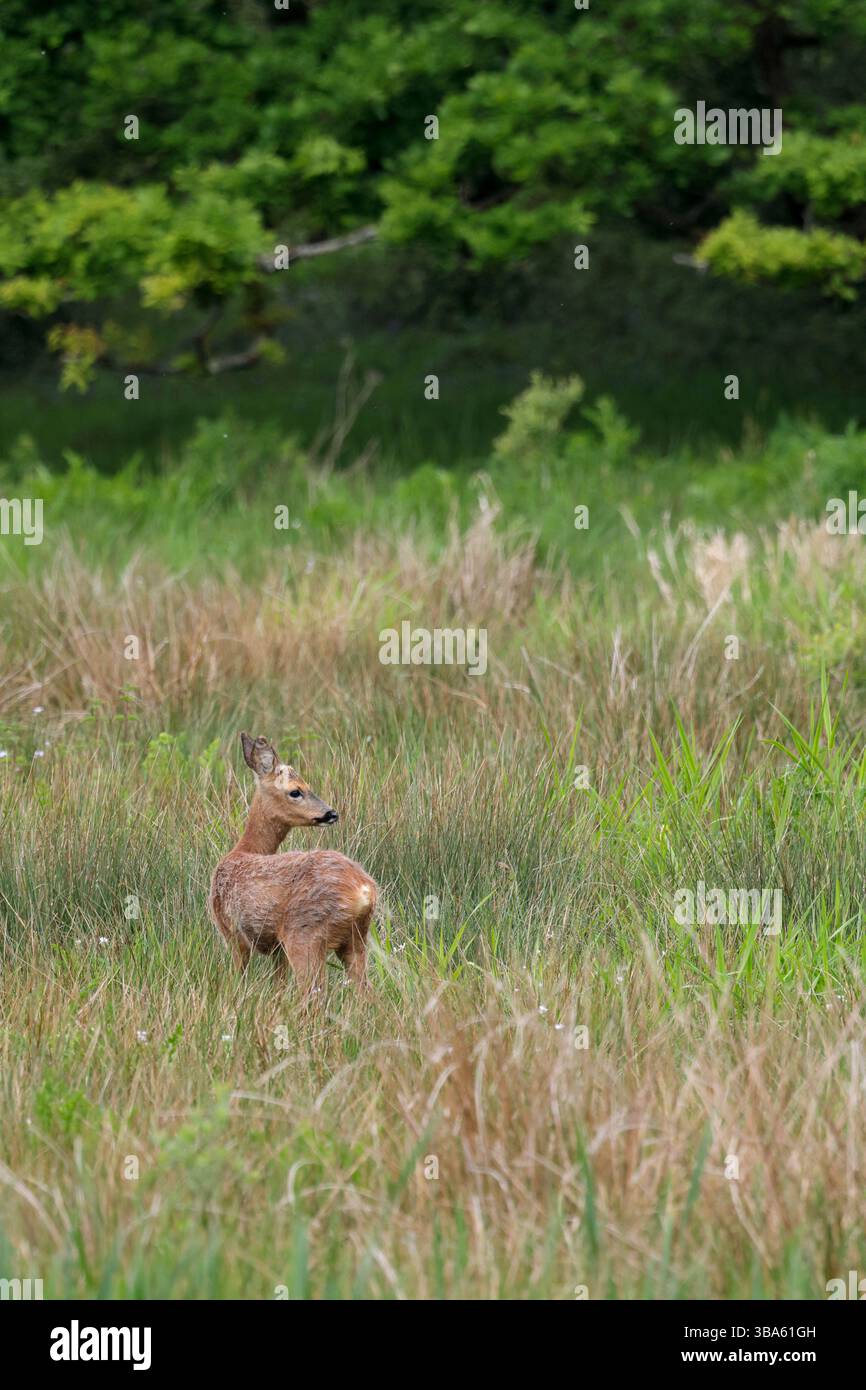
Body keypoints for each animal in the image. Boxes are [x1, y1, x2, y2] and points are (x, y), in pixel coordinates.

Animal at [209, 733, 377, 997]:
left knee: (313, 993)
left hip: (305, 934)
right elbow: (278, 984)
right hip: (356, 938)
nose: (331, 813)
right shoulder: (277, 949)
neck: (242, 851)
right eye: (296, 791)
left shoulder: (232, 933)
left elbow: (239, 977)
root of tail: (363, 890)